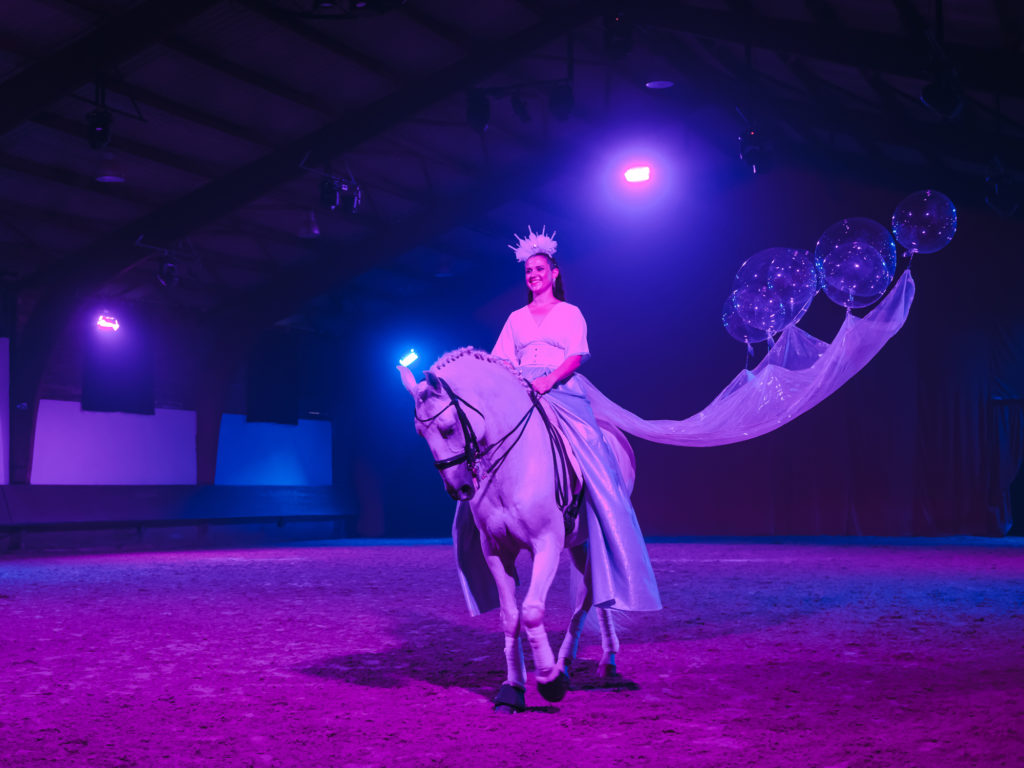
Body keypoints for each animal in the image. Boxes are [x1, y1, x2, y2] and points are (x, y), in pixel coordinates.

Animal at [397, 348, 622, 716]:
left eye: (447, 428)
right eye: (419, 433)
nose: (459, 489)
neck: (511, 465)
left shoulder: (547, 543)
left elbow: (531, 612)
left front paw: (549, 681)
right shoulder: (495, 550)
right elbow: (510, 616)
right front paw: (512, 689)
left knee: (589, 596)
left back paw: (577, 665)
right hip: (582, 542)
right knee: (596, 594)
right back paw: (593, 661)